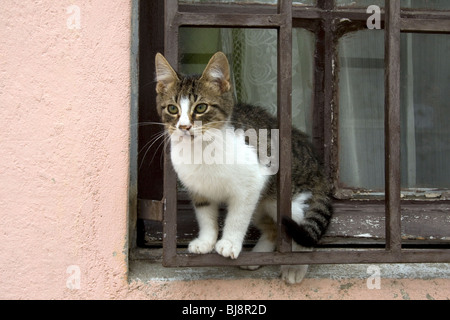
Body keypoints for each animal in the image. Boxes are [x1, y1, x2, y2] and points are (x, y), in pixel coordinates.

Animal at [156, 51, 334, 284]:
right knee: (273, 229)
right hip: (263, 204)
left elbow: (238, 216)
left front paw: (229, 243)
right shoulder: (198, 189)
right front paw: (206, 241)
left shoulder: (252, 183)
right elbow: (205, 215)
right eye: (172, 108)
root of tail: (320, 168)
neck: (202, 149)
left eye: (201, 107)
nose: (184, 127)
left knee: (304, 232)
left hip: (289, 201)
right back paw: (257, 257)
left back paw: (295, 267)